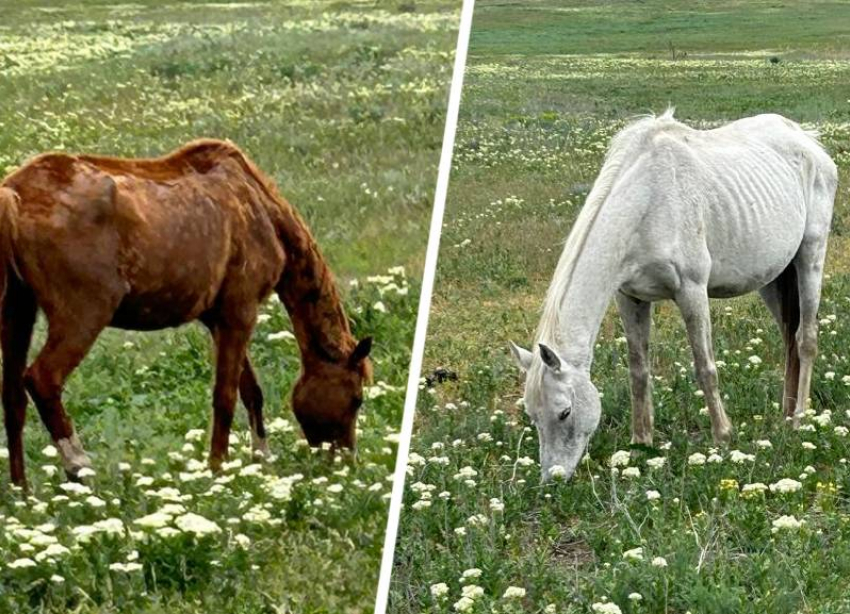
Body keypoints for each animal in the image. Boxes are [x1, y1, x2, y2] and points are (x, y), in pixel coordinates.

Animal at [0, 138, 372, 486]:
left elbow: (250, 390)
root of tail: (14, 195)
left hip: (17, 313)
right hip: (83, 316)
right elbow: (225, 396)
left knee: (13, 397)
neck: (260, 208)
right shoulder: (241, 311)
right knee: (42, 379)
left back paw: (22, 489)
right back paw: (78, 465)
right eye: (356, 399)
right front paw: (218, 468)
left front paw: (260, 459)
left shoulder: (219, 320)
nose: (346, 462)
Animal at [510, 113, 836, 484]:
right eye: (532, 416)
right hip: (774, 277)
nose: (552, 480)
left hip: (810, 255)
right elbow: (638, 371)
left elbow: (705, 367)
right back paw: (786, 413)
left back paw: (800, 419)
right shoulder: (629, 297)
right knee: (788, 340)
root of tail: (809, 141)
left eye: (564, 412)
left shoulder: (691, 290)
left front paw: (723, 437)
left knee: (805, 339)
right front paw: (641, 441)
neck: (647, 201)